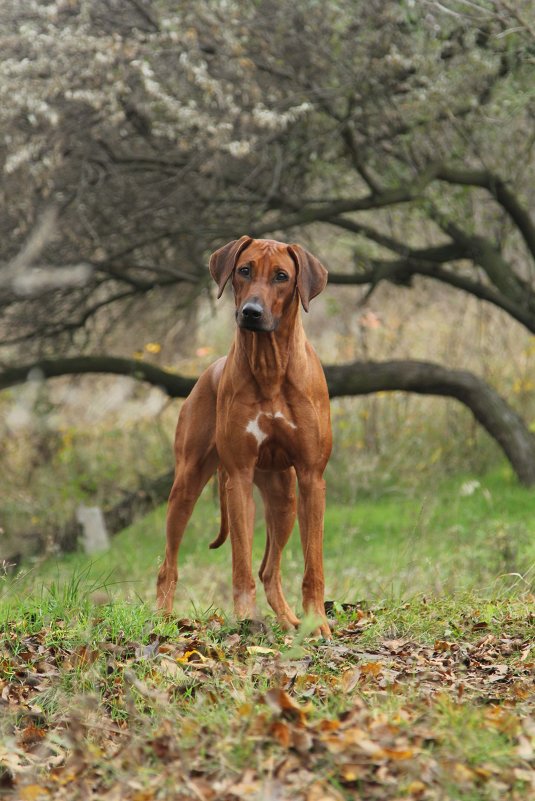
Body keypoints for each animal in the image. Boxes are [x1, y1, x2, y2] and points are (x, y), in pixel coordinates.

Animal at [156, 234, 330, 636]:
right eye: (244, 270)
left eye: (282, 276)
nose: (251, 312)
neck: (270, 367)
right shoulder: (238, 476)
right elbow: (240, 562)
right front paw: (246, 619)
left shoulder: (312, 477)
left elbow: (312, 565)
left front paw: (317, 623)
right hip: (187, 485)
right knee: (168, 564)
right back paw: (162, 618)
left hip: (285, 498)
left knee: (270, 569)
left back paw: (289, 620)